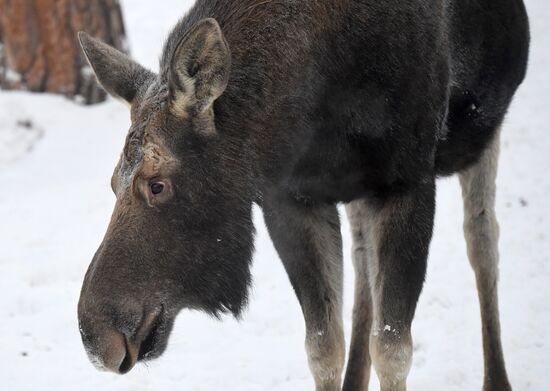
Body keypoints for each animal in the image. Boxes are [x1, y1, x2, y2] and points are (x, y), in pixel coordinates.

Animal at [77, 1, 532, 390]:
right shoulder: (292, 199)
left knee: (482, 240)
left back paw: (498, 380)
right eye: (113, 182)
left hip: (481, 132)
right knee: (363, 259)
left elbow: (393, 349)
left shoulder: (407, 183)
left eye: (157, 184)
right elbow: (323, 347)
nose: (95, 335)